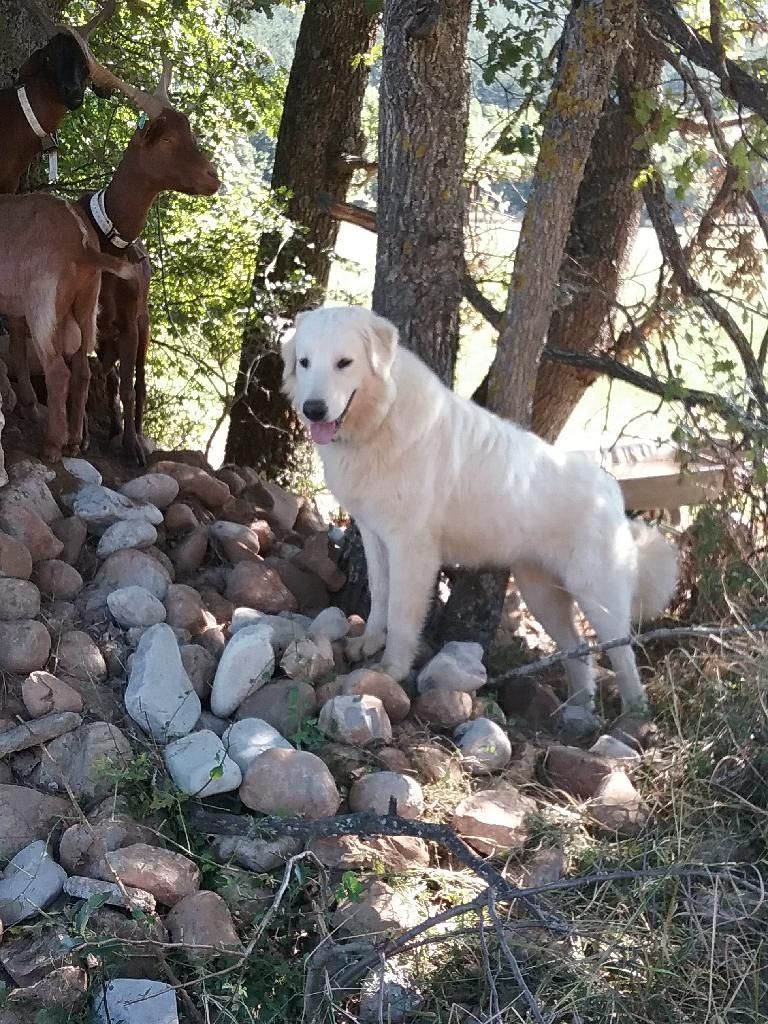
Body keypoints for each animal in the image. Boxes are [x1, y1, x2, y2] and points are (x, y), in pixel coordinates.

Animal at [284, 307, 679, 716]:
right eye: (305, 362)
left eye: (344, 363)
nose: (313, 410)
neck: (381, 419)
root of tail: (613, 492)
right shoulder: (374, 534)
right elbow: (380, 593)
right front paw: (370, 641)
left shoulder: (412, 549)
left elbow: (402, 613)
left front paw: (392, 669)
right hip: (541, 595)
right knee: (579, 652)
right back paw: (575, 711)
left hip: (598, 597)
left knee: (623, 656)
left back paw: (633, 717)